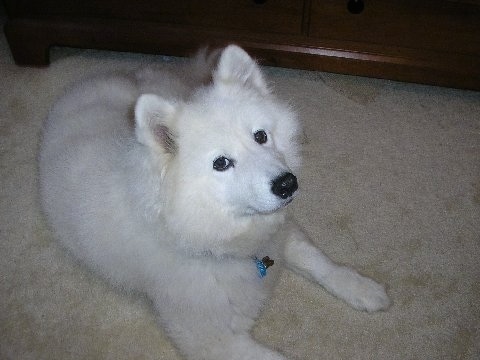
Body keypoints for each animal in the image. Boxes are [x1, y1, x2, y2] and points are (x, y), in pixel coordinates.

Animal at [40, 45, 390, 360]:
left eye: (260, 136)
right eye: (221, 163)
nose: (287, 183)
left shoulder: (280, 233)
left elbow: (319, 262)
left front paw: (362, 289)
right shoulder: (211, 339)